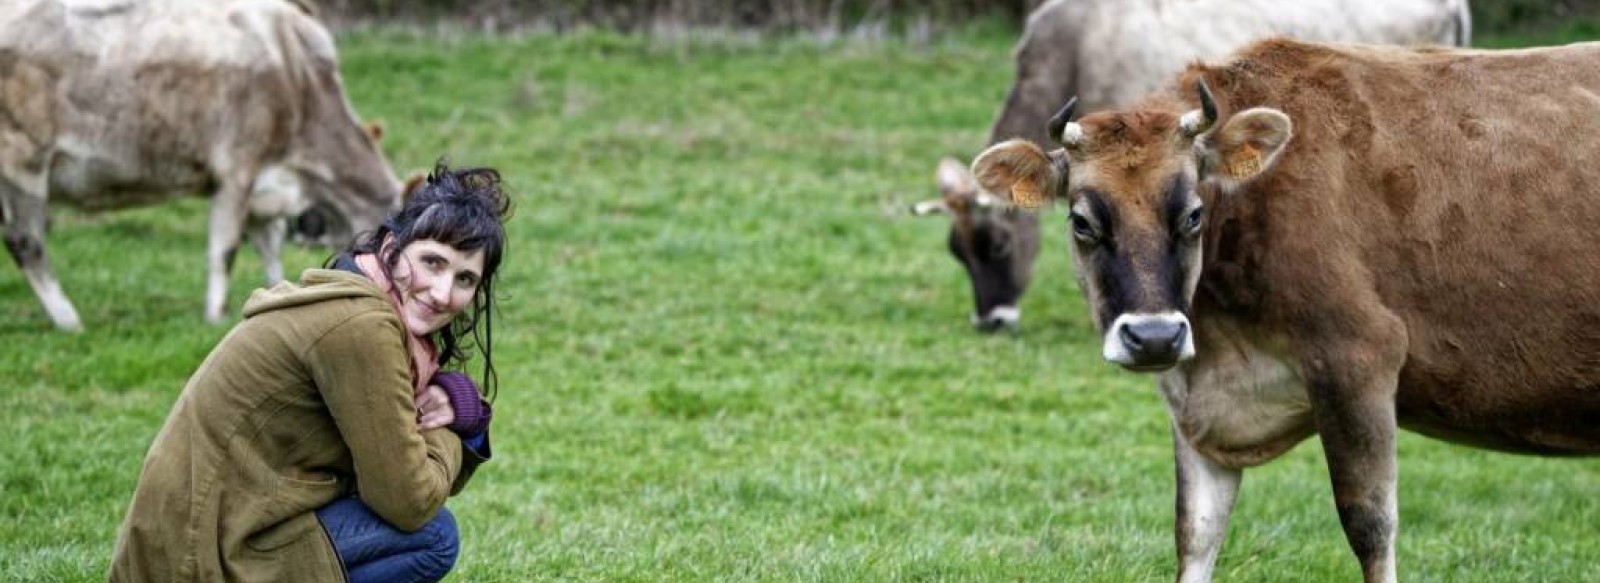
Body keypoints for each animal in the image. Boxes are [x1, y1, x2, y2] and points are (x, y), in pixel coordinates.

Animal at [0, 0, 400, 329]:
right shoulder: (238, 167)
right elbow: (225, 249)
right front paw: (215, 315)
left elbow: (268, 246)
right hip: (24, 159)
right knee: (27, 242)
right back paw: (69, 320)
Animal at [966, 37, 1600, 583]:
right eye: (1082, 221)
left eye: (1194, 214)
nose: (1154, 337)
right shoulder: (1196, 405)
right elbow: (1194, 535)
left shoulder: (1359, 358)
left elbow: (1371, 525)